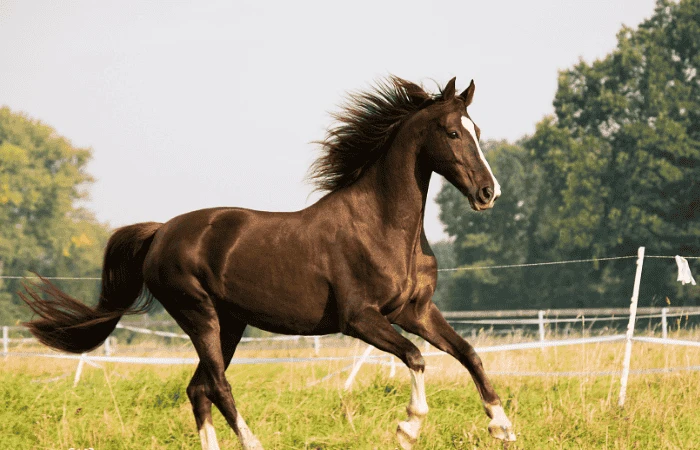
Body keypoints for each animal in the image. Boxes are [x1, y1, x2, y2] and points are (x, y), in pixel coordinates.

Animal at [21, 76, 515, 449]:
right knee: (218, 386)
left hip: (230, 322)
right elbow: (415, 357)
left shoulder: (415, 312)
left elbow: (468, 353)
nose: (488, 193)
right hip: (199, 315)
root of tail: (160, 232)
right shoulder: (360, 318)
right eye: (452, 133)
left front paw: (502, 426)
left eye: (477, 130)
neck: (383, 227)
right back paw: (254, 442)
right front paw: (409, 426)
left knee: (199, 389)